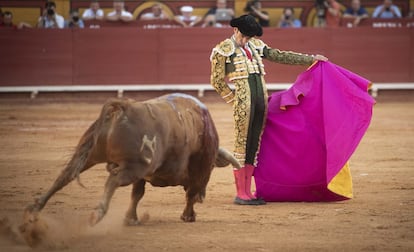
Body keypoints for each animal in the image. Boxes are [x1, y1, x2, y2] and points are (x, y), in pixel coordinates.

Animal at [23, 93, 239, 227]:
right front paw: (188, 216)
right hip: (133, 166)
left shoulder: (143, 176)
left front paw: (130, 219)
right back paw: (97, 214)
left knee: (65, 175)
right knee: (113, 180)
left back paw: (34, 209)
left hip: (89, 153)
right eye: (212, 168)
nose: (204, 197)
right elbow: (190, 194)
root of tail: (123, 107)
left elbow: (137, 194)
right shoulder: (197, 173)